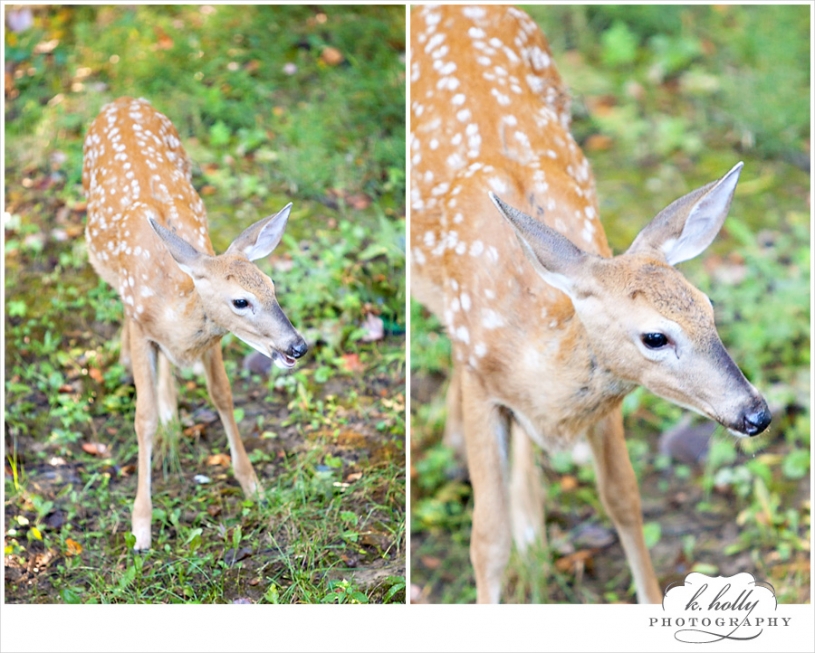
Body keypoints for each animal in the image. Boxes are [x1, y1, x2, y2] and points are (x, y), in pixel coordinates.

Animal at [82, 97, 308, 551]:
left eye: (272, 286)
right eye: (240, 301)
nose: (297, 346)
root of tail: (123, 100)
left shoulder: (213, 339)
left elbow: (222, 394)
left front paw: (253, 484)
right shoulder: (141, 326)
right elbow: (143, 418)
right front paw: (141, 526)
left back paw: (173, 408)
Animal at [410, 5, 771, 604]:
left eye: (708, 306)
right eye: (655, 336)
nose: (756, 413)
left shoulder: (607, 396)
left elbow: (624, 498)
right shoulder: (482, 379)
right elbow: (487, 540)